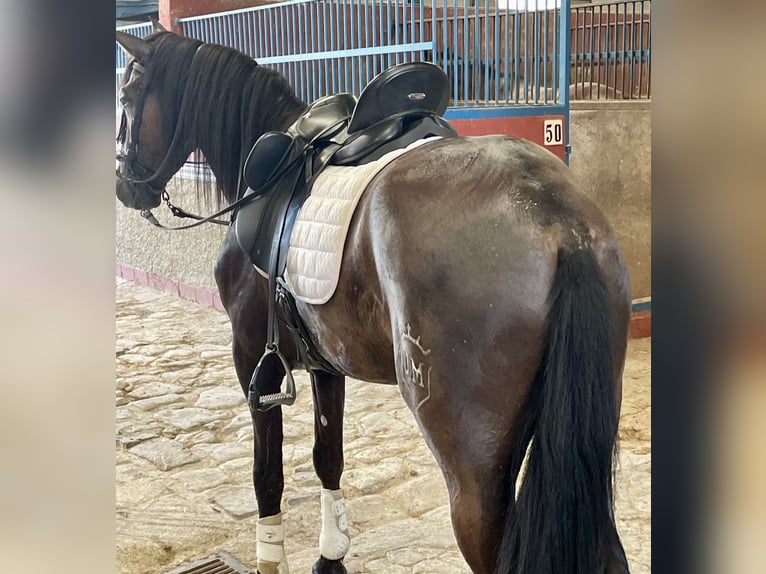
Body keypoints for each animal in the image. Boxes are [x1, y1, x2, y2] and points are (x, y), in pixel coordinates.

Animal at [116, 24, 631, 574]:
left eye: (125, 97)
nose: (125, 186)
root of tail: (556, 219)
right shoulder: (325, 365)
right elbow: (328, 457)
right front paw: (331, 558)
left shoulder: (254, 359)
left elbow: (267, 476)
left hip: (475, 478)